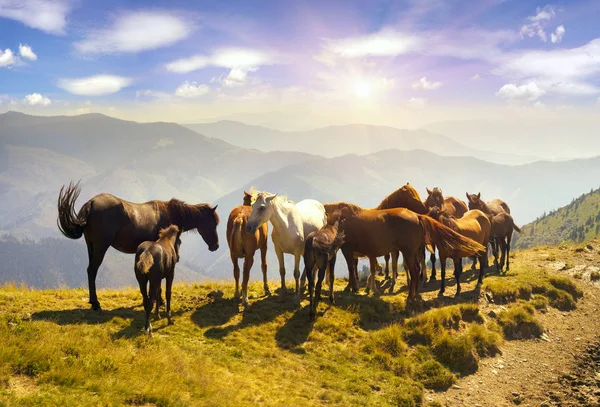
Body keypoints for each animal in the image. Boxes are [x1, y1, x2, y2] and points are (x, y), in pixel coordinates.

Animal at [56, 180, 219, 310]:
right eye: (213, 223)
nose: (215, 246)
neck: (169, 213)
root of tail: (91, 203)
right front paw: (159, 301)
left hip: (91, 246)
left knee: (90, 270)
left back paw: (92, 301)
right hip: (100, 247)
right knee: (92, 270)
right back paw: (96, 303)